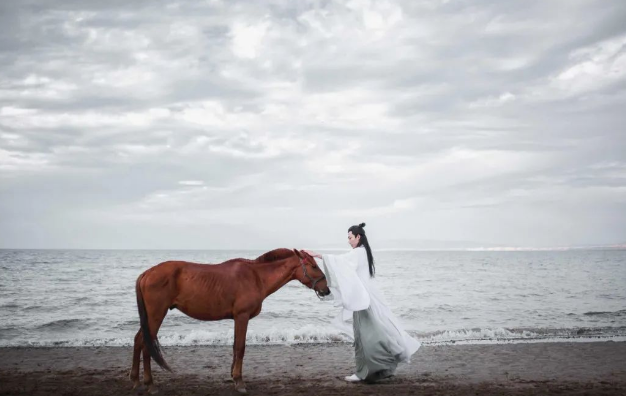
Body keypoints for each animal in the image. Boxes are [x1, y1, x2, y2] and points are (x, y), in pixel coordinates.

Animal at [129, 248, 330, 392]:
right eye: (313, 266)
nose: (326, 289)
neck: (256, 276)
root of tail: (147, 273)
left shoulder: (236, 318)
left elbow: (235, 347)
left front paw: (233, 377)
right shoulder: (242, 316)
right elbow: (240, 347)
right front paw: (239, 382)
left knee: (138, 341)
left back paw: (136, 381)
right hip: (156, 315)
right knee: (145, 344)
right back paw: (149, 384)